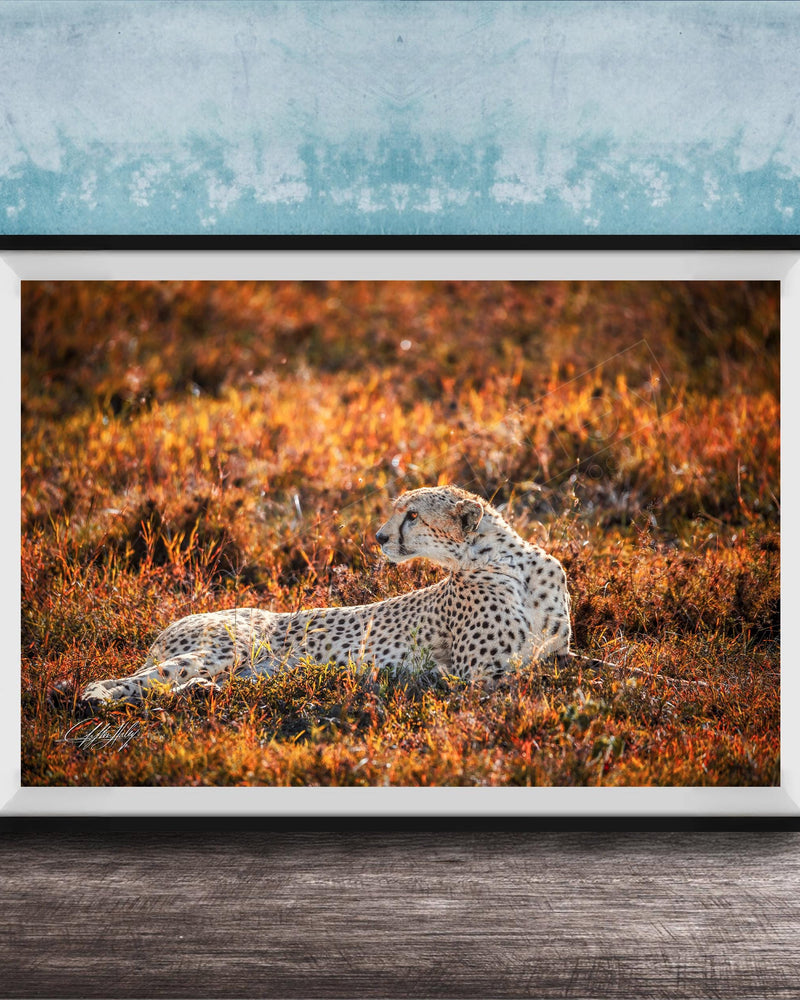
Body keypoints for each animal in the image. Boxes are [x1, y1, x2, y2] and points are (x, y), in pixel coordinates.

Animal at [80, 485, 572, 706]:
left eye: (412, 515)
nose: (379, 537)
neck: (508, 563)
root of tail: (169, 624)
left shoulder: (556, 654)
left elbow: (577, 666)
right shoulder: (480, 676)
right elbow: (535, 682)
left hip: (244, 669)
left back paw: (200, 693)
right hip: (226, 647)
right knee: (132, 681)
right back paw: (97, 696)